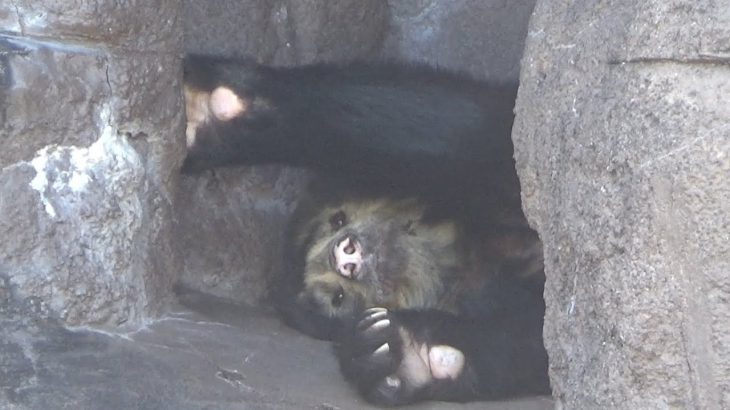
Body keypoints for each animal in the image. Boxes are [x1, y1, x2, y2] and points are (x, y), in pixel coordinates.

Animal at [181, 55, 544, 406]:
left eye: (338, 218)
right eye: (337, 296)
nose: (344, 256)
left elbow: (454, 123)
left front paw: (211, 110)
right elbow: (525, 341)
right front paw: (403, 353)